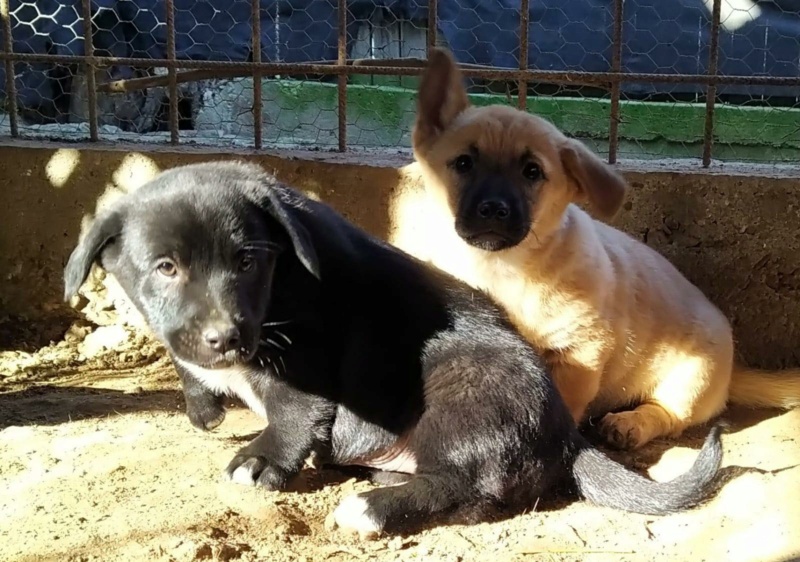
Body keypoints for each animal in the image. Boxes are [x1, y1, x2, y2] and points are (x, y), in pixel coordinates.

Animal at [64, 160, 724, 536]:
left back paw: (372, 509)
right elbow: (189, 366)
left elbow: (292, 415)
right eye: (165, 268)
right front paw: (204, 404)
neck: (282, 284)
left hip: (462, 388)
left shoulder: (302, 363)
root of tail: (565, 433)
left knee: (474, 488)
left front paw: (260, 459)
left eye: (248, 262)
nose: (224, 337)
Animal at [392, 49, 800, 450]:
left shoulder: (579, 354)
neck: (502, 267)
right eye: (464, 163)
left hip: (692, 377)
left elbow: (561, 405)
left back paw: (631, 424)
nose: (494, 209)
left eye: (532, 172)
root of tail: (731, 372)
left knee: (669, 415)